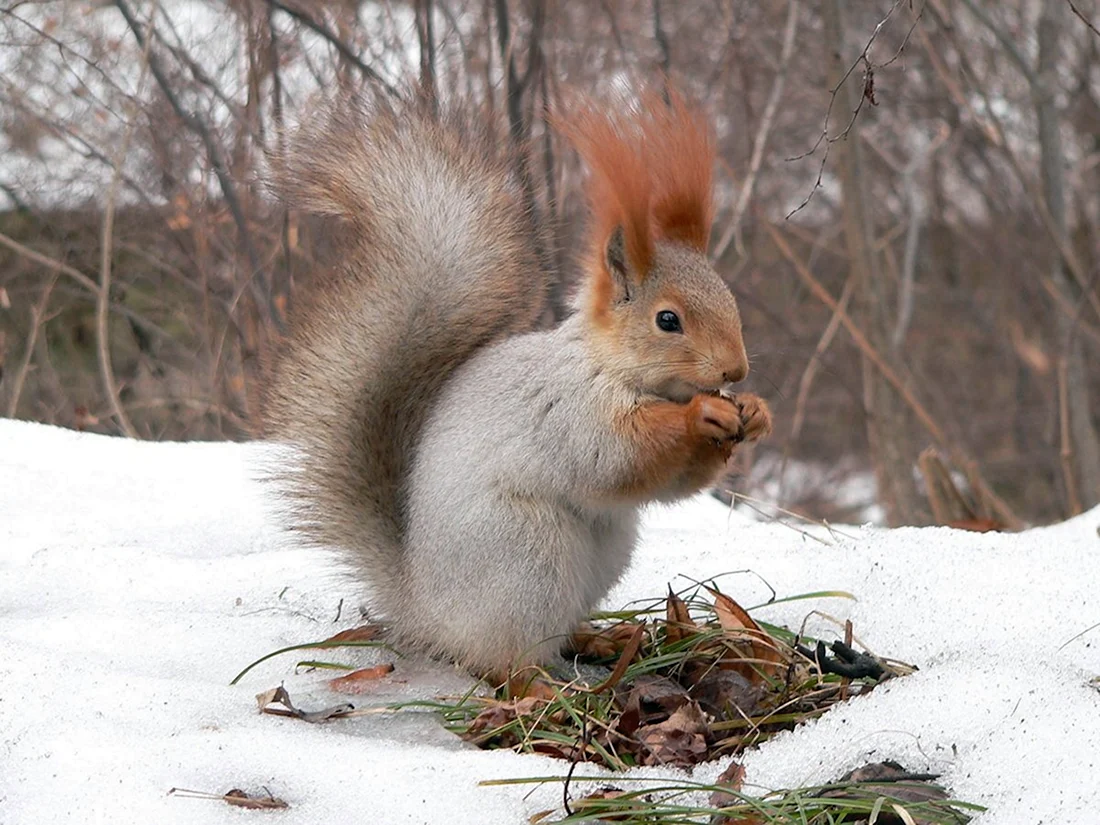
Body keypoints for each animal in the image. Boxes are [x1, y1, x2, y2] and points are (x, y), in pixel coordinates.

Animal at [260, 87, 770, 686]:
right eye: (668, 320)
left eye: (728, 297)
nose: (735, 371)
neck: (614, 366)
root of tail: (426, 613)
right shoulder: (567, 407)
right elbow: (614, 456)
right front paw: (701, 417)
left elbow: (674, 483)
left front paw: (754, 412)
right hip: (526, 558)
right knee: (506, 659)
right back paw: (542, 687)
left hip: (601, 555)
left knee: (555, 630)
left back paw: (598, 639)